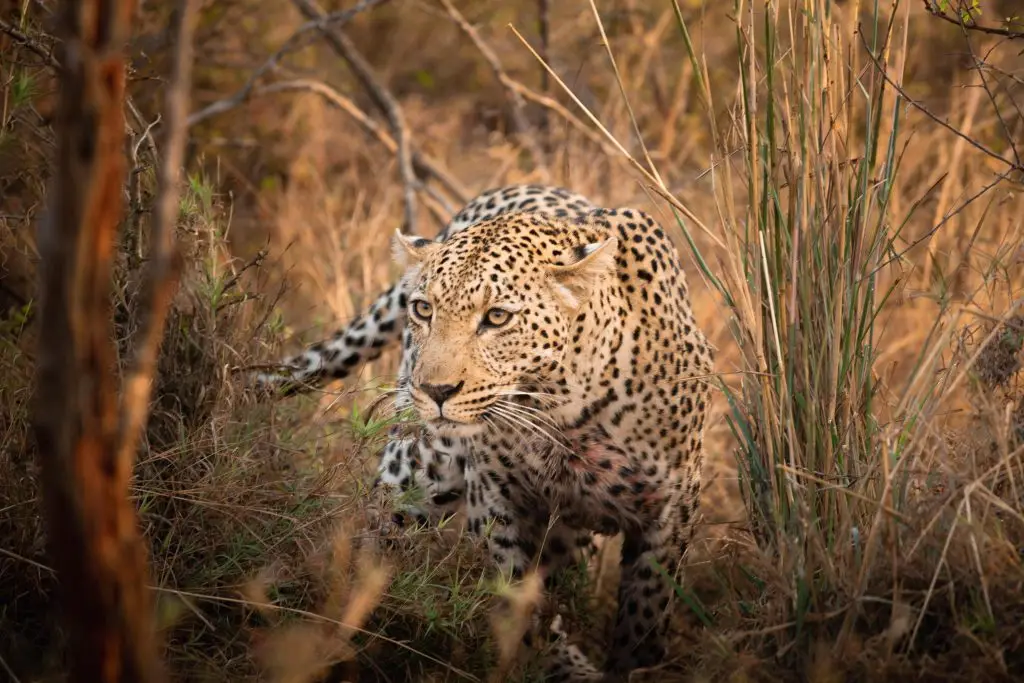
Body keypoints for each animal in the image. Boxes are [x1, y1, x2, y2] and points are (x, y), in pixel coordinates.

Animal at [255, 184, 715, 680]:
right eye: (424, 309)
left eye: (497, 317)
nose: (434, 390)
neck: (561, 412)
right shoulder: (497, 499)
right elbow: (515, 602)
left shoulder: (670, 512)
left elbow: (645, 618)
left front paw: (630, 666)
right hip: (415, 475)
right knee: (374, 542)